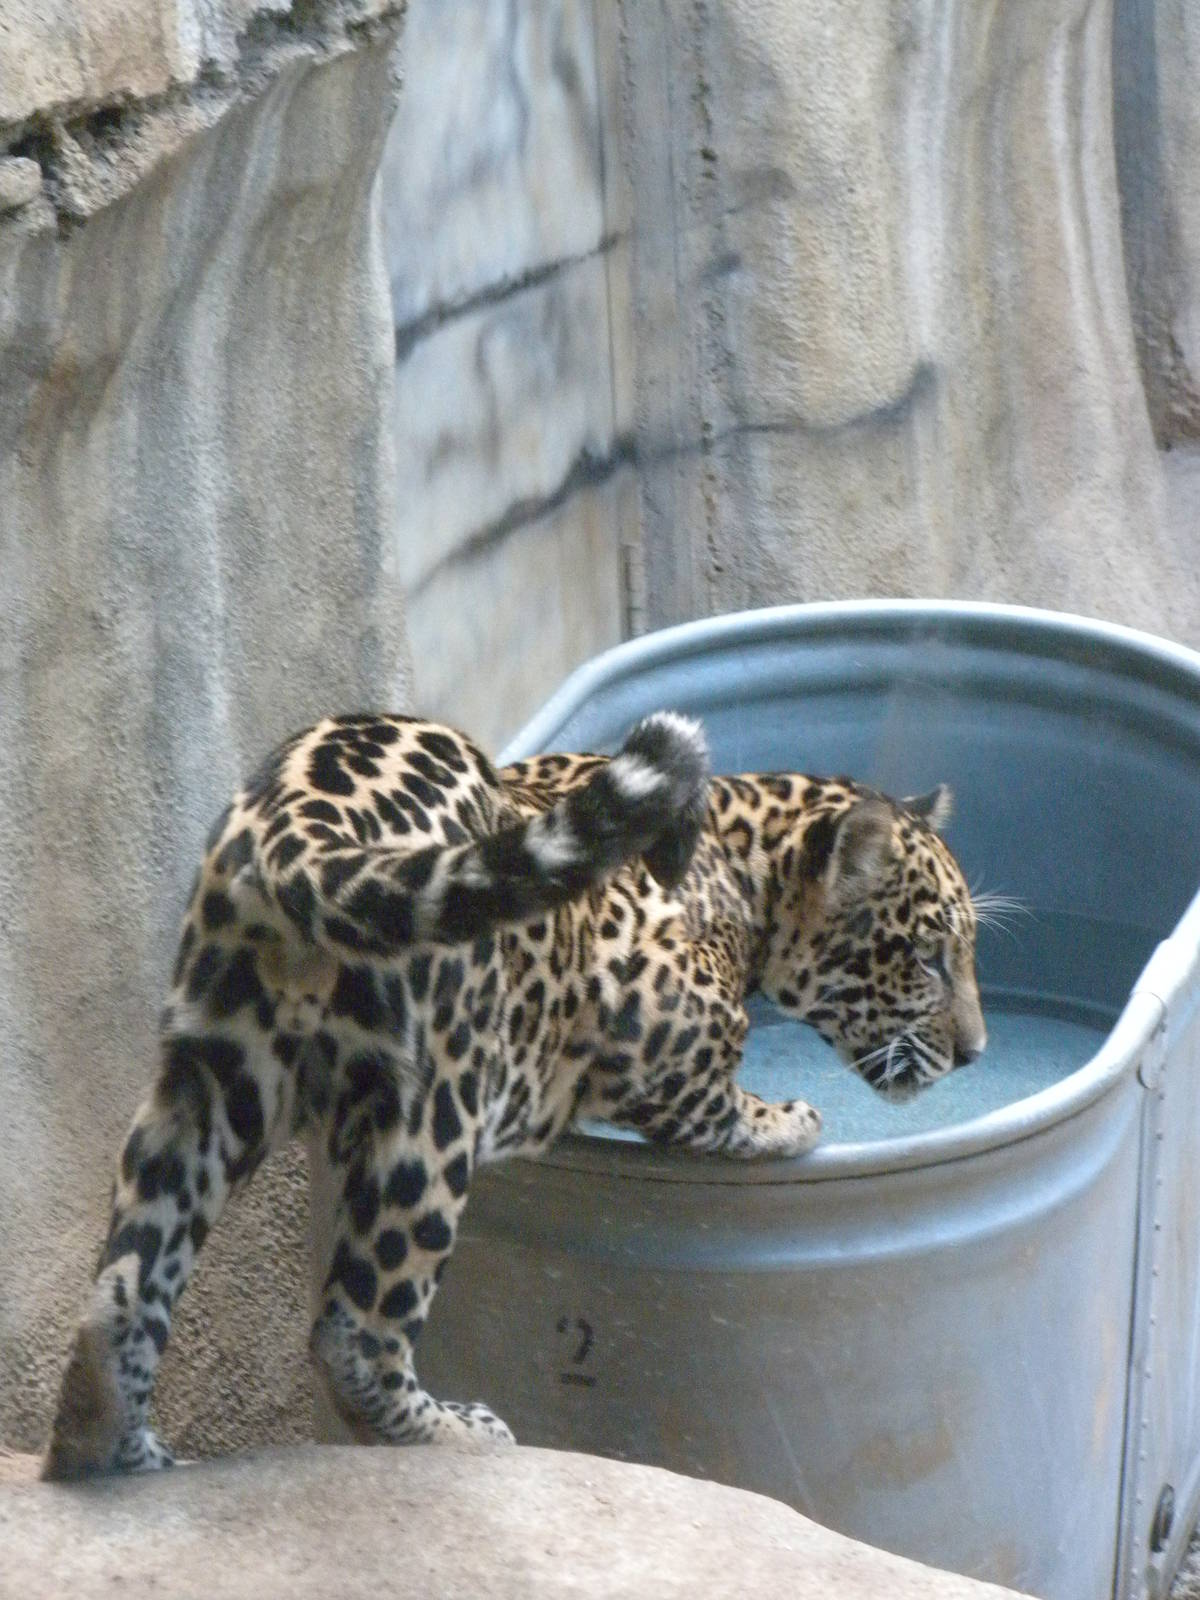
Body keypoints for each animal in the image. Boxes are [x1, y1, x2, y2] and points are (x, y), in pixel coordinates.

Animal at [43, 707, 985, 1480]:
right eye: (929, 956)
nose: (975, 1052)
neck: (750, 868)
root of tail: (295, 829)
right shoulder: (658, 1016)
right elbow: (709, 1104)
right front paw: (785, 1120)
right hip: (437, 1099)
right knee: (356, 1333)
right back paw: (459, 1434)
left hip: (208, 1072)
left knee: (124, 1284)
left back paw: (111, 1444)